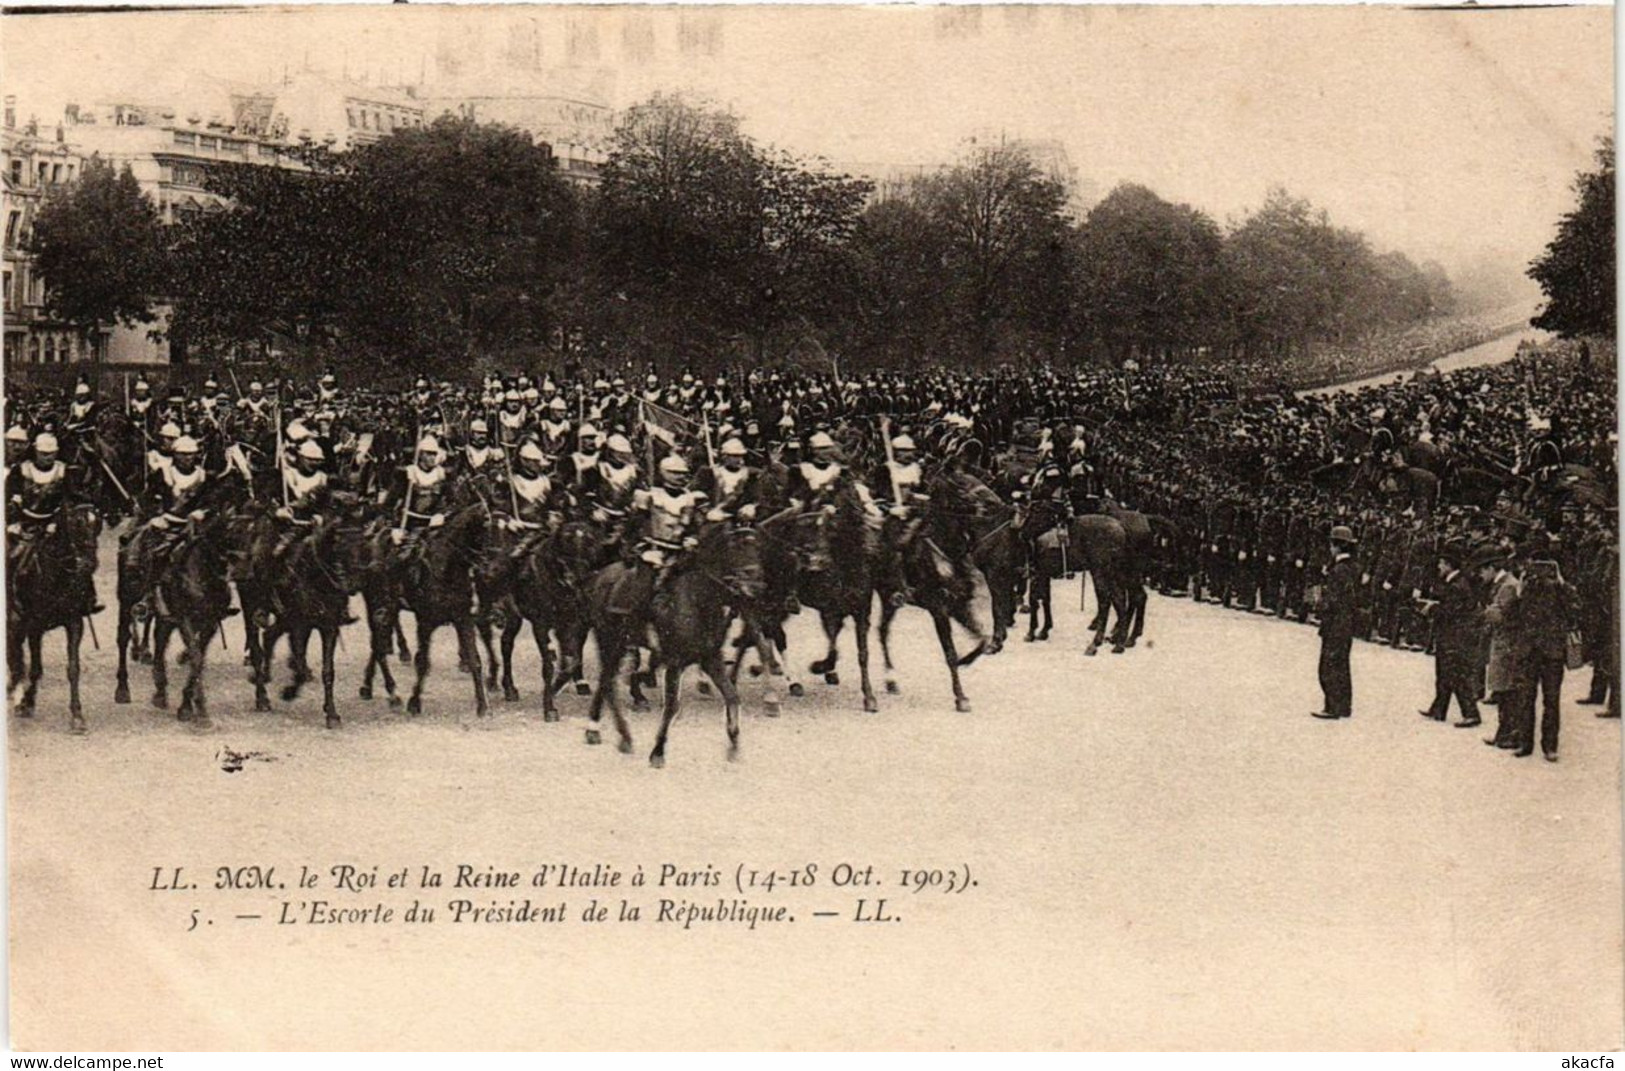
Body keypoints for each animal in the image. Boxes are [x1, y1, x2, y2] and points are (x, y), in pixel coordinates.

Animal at [7, 503, 99, 728]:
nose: (89, 563)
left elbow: (73, 668)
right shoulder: (35, 626)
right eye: (75, 524)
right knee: (15, 654)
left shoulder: (74, 623)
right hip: (16, 621)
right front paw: (27, 703)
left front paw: (77, 715)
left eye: (97, 524)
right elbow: (35, 668)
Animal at [581, 523, 763, 767]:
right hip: (610, 642)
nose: (757, 586)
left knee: (606, 682)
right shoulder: (675, 663)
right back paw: (614, 733)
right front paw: (657, 752)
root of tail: (598, 577)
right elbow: (671, 707)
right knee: (608, 684)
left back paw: (609, 733)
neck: (697, 599)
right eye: (738, 546)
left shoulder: (710, 659)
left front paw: (733, 746)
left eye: (756, 546)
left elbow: (732, 696)